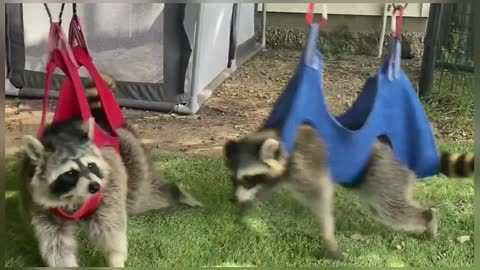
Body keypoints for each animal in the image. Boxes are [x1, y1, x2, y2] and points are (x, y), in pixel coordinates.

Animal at [18, 117, 202, 266]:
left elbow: (111, 227)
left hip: (131, 153)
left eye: (91, 165)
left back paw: (175, 192)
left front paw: (115, 258)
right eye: (69, 173)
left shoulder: (109, 183)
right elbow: (56, 242)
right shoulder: (39, 202)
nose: (94, 187)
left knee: (143, 197)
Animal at [224, 124, 472, 260]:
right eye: (235, 178)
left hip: (385, 170)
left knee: (390, 208)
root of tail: (406, 154)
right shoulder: (283, 174)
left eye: (248, 178)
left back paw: (429, 219)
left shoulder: (306, 165)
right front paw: (250, 207)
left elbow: (321, 195)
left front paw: (328, 237)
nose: (233, 199)